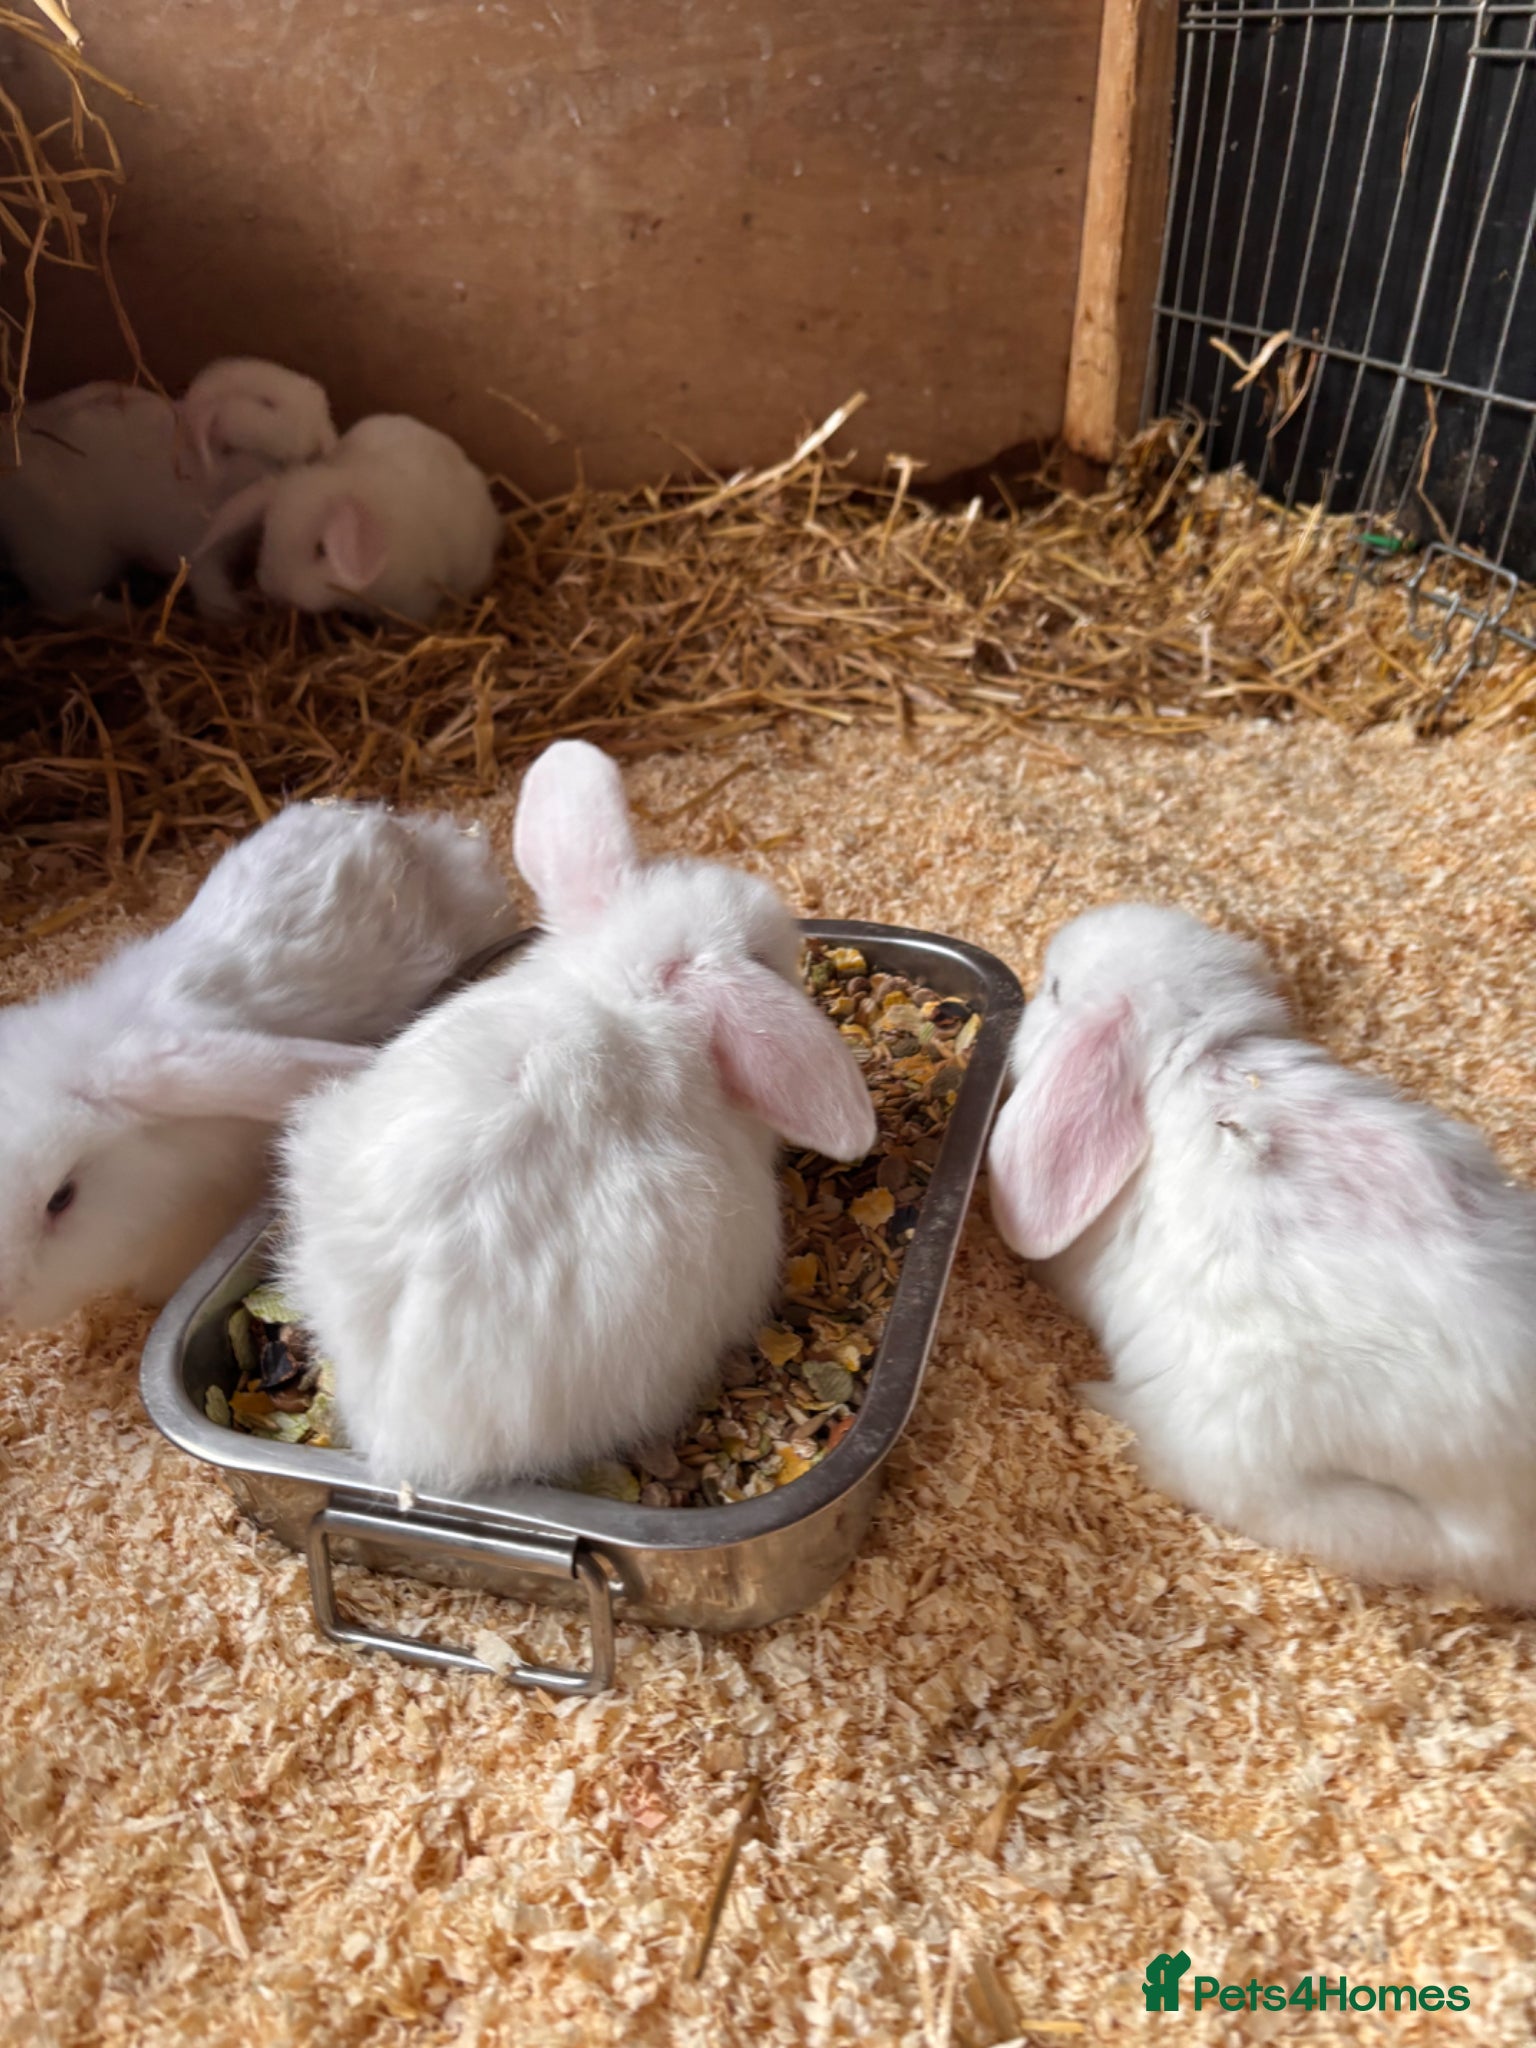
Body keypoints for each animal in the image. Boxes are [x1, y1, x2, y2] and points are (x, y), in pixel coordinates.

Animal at [0, 357, 336, 620]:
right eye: (267, 402)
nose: (320, 395)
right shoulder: (197, 556)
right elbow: (210, 588)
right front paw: (235, 611)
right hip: (76, 562)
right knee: (62, 602)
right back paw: (120, 614)